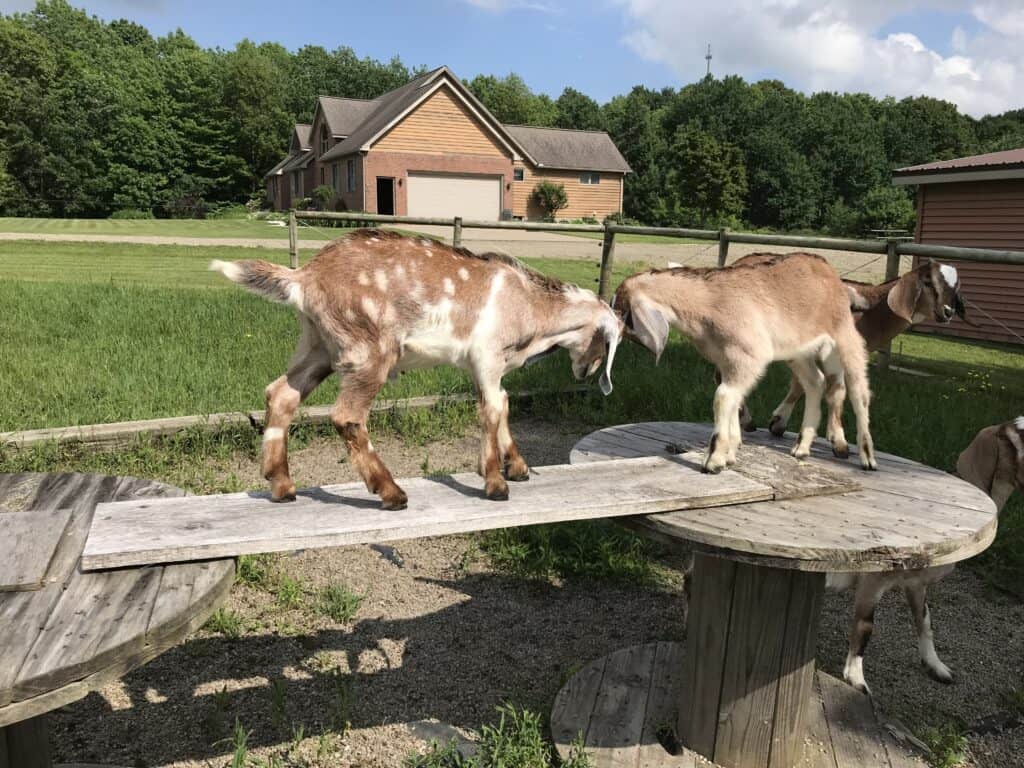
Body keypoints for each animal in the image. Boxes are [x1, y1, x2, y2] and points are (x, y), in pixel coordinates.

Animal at [211, 228, 618, 512]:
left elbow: (502, 405)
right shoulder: (486, 356)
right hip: (370, 350)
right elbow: (491, 410)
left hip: (318, 346)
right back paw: (391, 493)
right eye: (605, 343)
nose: (587, 372)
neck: (529, 304)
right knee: (347, 416)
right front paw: (495, 484)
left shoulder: (488, 368)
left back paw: (282, 486)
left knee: (281, 394)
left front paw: (518, 468)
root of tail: (304, 277)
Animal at [610, 252, 876, 473]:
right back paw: (801, 448)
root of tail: (832, 275)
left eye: (623, 311)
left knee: (856, 390)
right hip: (799, 351)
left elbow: (723, 396)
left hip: (844, 337)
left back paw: (866, 457)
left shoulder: (747, 357)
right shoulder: (725, 361)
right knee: (815, 383)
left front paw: (715, 460)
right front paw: (730, 453)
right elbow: (733, 398)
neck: (709, 303)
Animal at [831, 417, 1024, 696]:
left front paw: (936, 666)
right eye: (1016, 440)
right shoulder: (873, 579)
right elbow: (865, 625)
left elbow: (925, 621)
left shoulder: (916, 583)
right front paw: (856, 679)